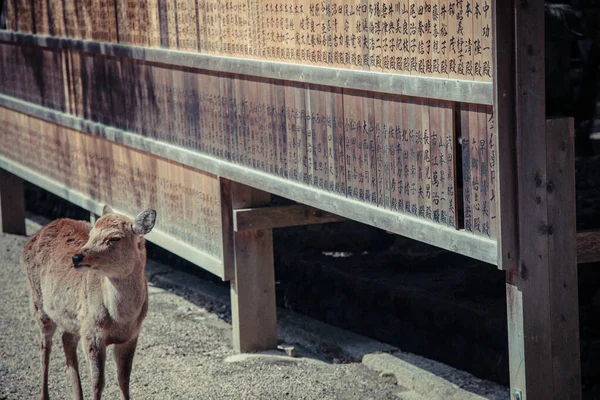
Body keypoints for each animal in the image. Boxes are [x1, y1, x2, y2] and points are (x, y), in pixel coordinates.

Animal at [22, 206, 157, 400]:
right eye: (92, 234)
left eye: (114, 238)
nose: (76, 257)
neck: (121, 319)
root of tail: (34, 236)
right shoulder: (92, 331)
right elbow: (98, 382)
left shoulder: (131, 336)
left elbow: (124, 378)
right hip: (38, 303)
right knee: (45, 346)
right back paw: (44, 395)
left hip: (73, 319)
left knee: (66, 339)